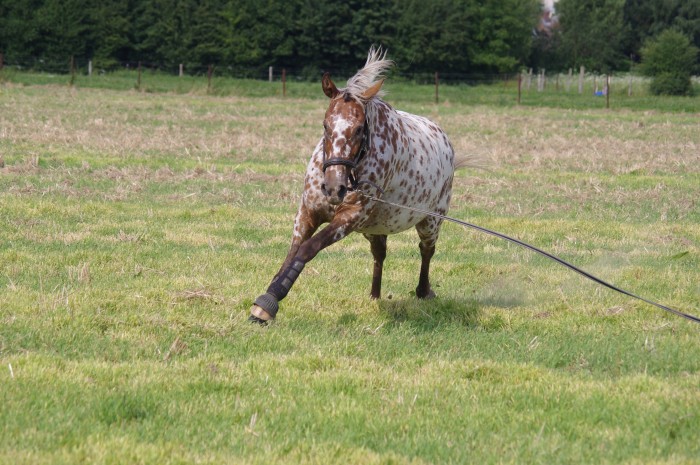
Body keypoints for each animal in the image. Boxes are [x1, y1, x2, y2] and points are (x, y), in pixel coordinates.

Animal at [250, 48, 460, 322]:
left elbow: (308, 249)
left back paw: (424, 291)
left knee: (426, 251)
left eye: (360, 129)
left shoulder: (349, 217)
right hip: (375, 226)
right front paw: (266, 300)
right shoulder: (307, 212)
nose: (334, 187)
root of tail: (444, 140)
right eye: (325, 125)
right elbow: (293, 252)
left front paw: (271, 300)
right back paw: (374, 295)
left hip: (431, 221)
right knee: (379, 253)